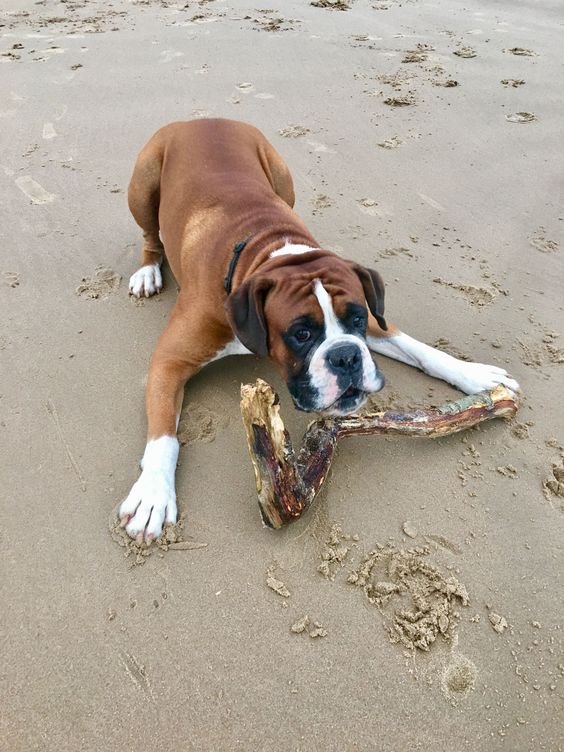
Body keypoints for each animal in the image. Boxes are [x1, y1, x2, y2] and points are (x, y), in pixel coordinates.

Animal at [119, 119, 520, 540]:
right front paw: (152, 493)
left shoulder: (375, 318)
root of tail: (202, 119)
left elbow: (418, 348)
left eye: (356, 319)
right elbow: (164, 435)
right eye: (301, 334)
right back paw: (147, 272)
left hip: (281, 176)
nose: (345, 357)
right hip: (143, 185)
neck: (266, 254)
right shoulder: (169, 361)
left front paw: (476, 376)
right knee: (150, 237)